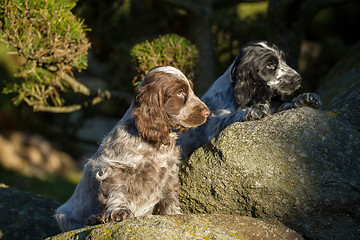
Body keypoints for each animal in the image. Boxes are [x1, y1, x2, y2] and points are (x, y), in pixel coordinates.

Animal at [54, 66, 210, 232]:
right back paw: (94, 219)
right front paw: (119, 212)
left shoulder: (170, 171)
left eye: (191, 90)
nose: (207, 112)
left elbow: (170, 196)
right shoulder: (114, 168)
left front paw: (174, 214)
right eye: (180, 92)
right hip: (63, 216)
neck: (154, 144)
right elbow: (117, 192)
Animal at [179, 40, 322, 158]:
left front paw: (305, 99)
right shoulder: (213, 124)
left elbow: (282, 106)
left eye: (283, 60)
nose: (299, 78)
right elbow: (232, 116)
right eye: (270, 65)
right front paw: (253, 111)